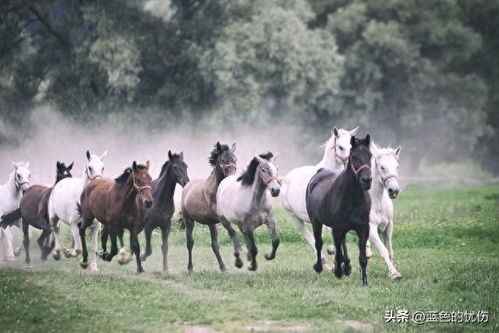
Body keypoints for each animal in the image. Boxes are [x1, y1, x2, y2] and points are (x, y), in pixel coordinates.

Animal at [182, 141, 238, 272]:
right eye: (222, 160)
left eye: (235, 159)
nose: (231, 177)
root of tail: (187, 187)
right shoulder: (220, 218)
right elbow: (232, 232)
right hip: (189, 221)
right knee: (190, 242)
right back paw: (190, 268)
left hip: (211, 224)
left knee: (214, 245)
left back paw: (223, 267)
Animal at [282, 126, 360, 264]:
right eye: (340, 147)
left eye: (352, 145)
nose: (351, 164)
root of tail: (285, 179)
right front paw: (333, 252)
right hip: (295, 218)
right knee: (309, 237)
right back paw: (324, 262)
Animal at [306, 134, 374, 284]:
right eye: (353, 156)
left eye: (370, 155)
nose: (366, 180)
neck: (353, 198)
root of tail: (320, 172)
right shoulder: (337, 228)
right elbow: (336, 251)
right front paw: (337, 270)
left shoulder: (363, 229)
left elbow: (362, 258)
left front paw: (365, 282)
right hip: (316, 221)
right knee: (319, 243)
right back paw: (320, 266)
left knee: (341, 243)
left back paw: (346, 267)